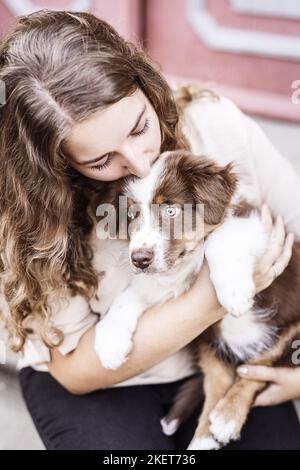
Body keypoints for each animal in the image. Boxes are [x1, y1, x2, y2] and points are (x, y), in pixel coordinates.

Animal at [88, 150, 300, 448]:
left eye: (171, 210)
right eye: (132, 215)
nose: (139, 259)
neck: (187, 262)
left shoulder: (257, 225)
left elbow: (219, 238)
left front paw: (234, 292)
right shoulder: (164, 284)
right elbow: (129, 296)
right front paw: (110, 344)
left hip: (291, 331)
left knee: (258, 370)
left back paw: (227, 416)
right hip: (206, 340)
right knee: (219, 382)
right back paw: (205, 437)